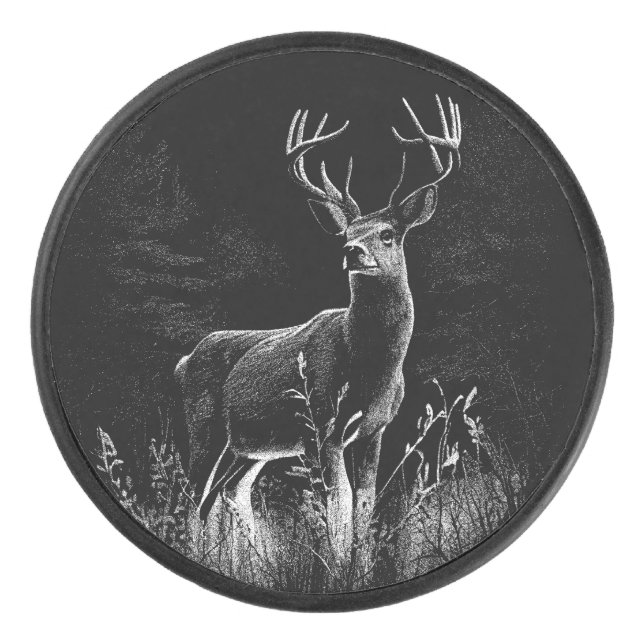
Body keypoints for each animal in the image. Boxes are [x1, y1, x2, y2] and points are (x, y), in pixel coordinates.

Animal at [175, 95, 462, 565]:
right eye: (346, 233)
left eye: (387, 233)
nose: (352, 251)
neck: (368, 365)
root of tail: (184, 362)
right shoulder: (321, 425)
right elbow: (337, 504)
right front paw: (336, 567)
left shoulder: (375, 429)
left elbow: (364, 502)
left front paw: (357, 568)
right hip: (205, 426)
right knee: (194, 497)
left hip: (249, 447)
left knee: (227, 494)